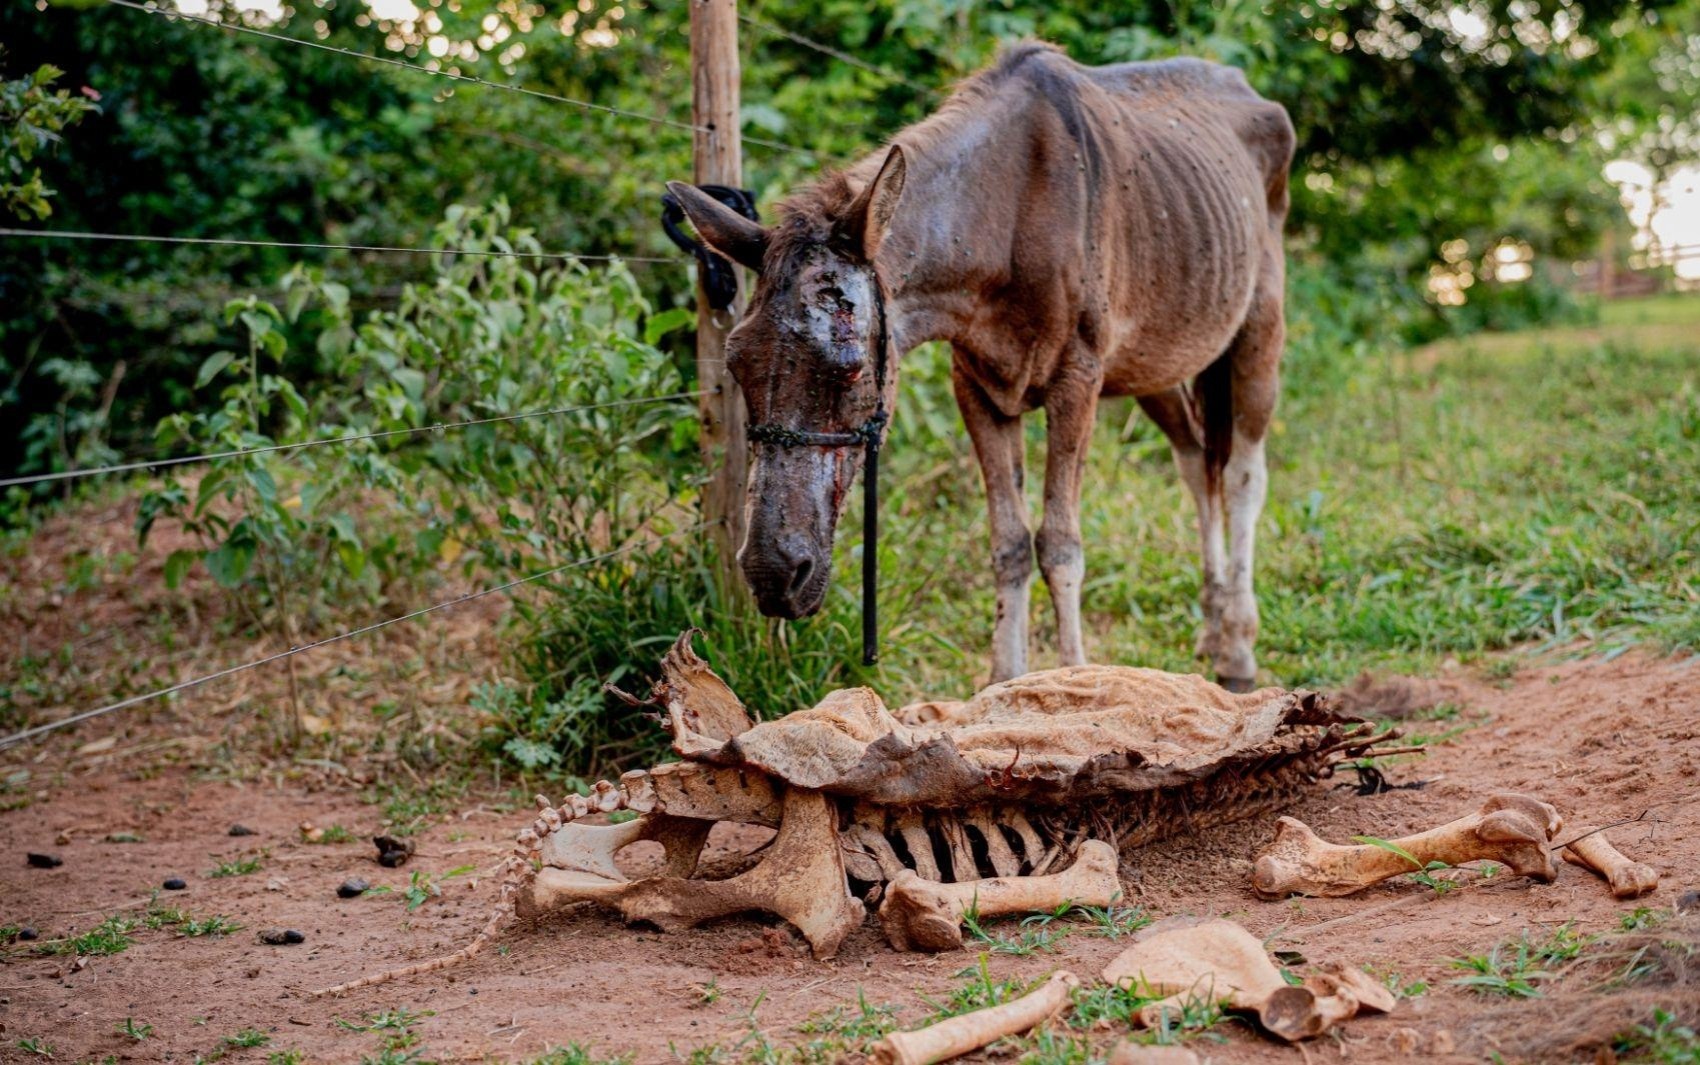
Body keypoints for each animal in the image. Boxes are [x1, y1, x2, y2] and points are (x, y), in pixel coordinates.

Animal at [669, 41, 1292, 687]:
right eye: (736, 363)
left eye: (851, 367)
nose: (771, 574)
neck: (1001, 233)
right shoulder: (977, 385)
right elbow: (1009, 543)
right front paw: (1005, 684)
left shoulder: (1077, 380)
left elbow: (1061, 545)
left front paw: (1076, 680)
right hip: (1156, 362)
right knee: (1196, 461)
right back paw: (1213, 630)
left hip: (1257, 331)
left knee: (1244, 473)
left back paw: (1238, 649)